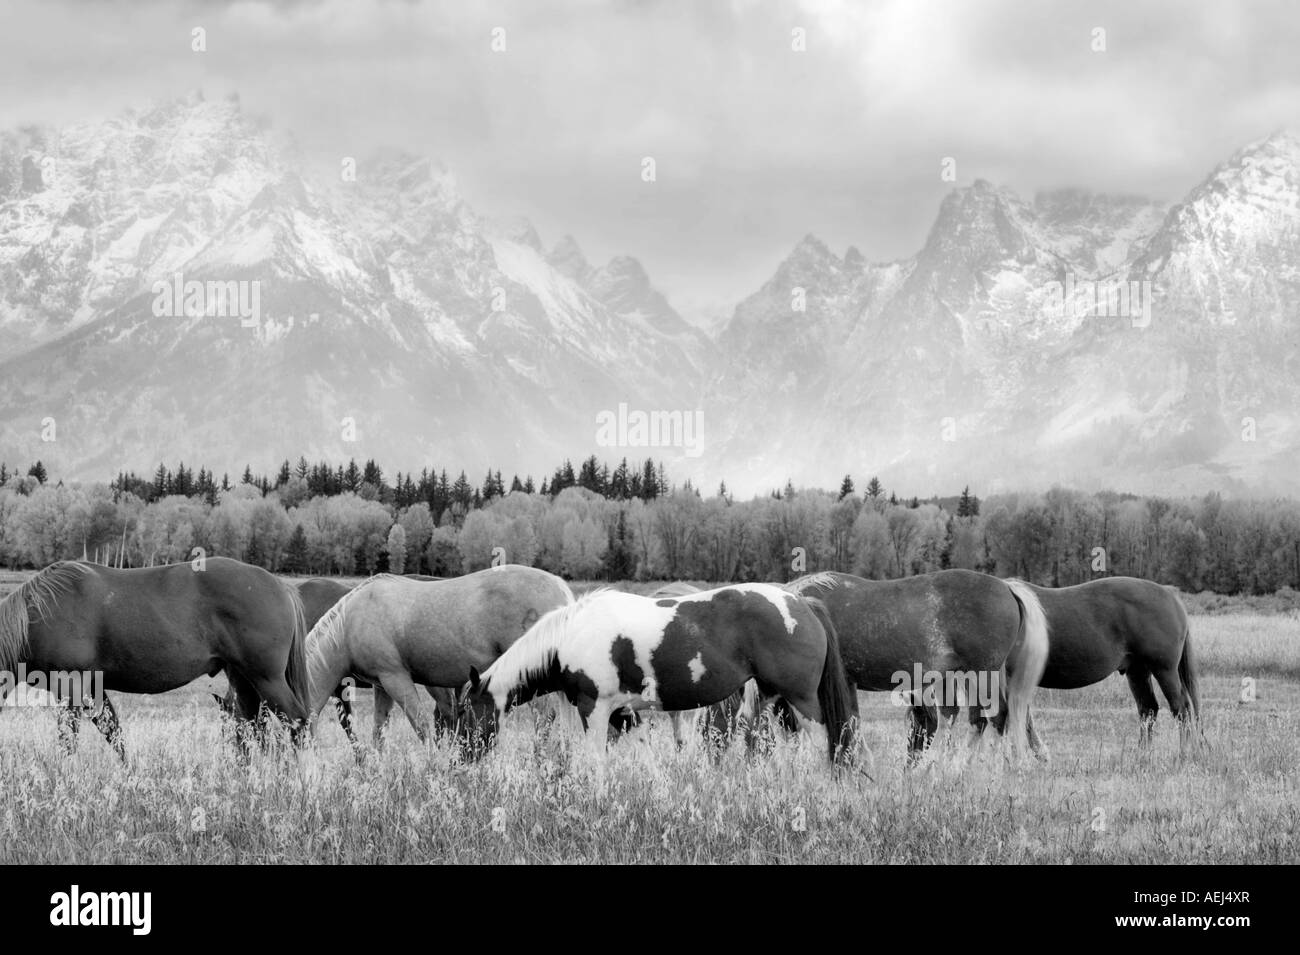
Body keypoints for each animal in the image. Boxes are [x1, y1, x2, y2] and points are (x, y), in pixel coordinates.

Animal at [0, 556, 309, 758]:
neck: (40, 615)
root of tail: (280, 585)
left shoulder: (71, 685)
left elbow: (68, 740)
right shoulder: (93, 688)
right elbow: (115, 736)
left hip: (267, 679)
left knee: (298, 723)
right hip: (244, 680)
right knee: (254, 729)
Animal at [304, 566, 574, 748]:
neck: (351, 622)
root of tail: (561, 589)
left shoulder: (396, 679)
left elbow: (421, 726)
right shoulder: (381, 685)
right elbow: (378, 733)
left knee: (544, 719)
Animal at [462, 579, 857, 764]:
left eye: (469, 712)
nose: (464, 758)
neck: (570, 635)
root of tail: (801, 602)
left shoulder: (595, 709)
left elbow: (595, 761)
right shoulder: (624, 713)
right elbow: (645, 753)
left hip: (802, 700)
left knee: (822, 744)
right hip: (768, 698)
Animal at [993, 574, 1196, 753]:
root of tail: (1169, 594)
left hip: (1164, 670)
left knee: (1181, 709)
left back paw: (1183, 754)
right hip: (1138, 671)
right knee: (1148, 710)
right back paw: (1142, 755)